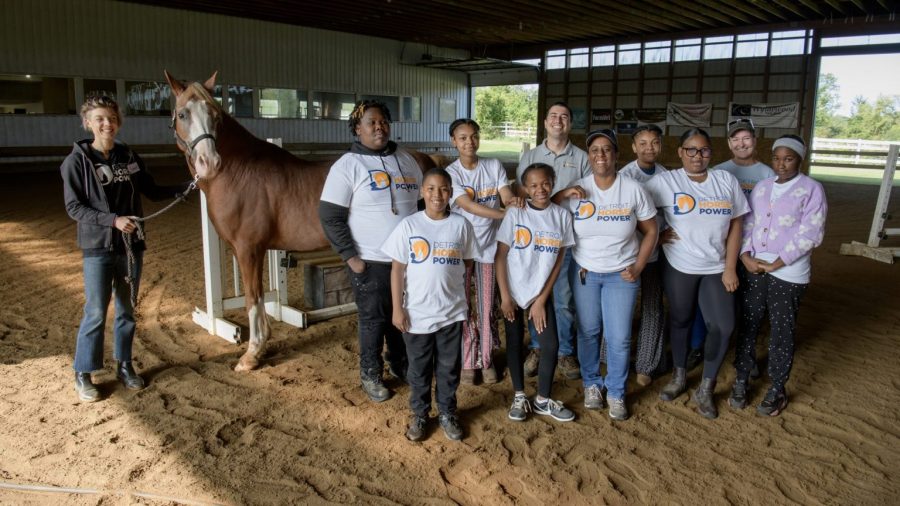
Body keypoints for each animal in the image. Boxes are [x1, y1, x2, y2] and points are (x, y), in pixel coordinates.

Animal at [166, 71, 440, 372]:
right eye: (183, 114)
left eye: (215, 116)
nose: (208, 161)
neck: (239, 171)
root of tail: (426, 159)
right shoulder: (246, 250)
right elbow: (257, 297)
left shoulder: (249, 249)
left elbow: (252, 298)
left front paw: (252, 353)